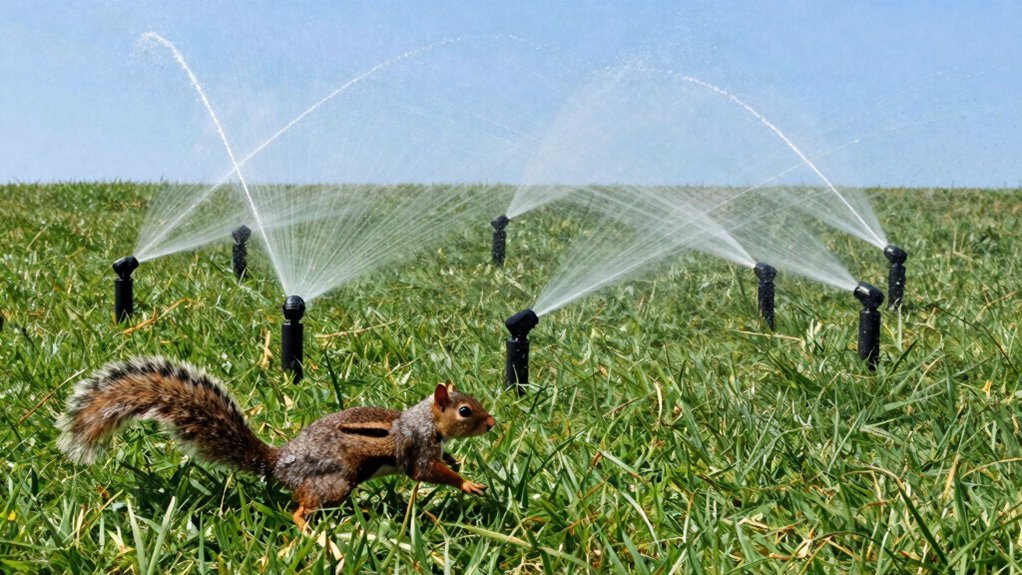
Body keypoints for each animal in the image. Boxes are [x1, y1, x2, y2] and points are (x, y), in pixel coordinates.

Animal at [56, 356, 496, 531]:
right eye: (465, 411)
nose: (493, 423)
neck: (425, 419)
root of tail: (279, 462)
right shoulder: (417, 447)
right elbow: (425, 471)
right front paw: (468, 483)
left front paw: (457, 463)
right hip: (335, 481)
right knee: (298, 507)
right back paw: (308, 528)